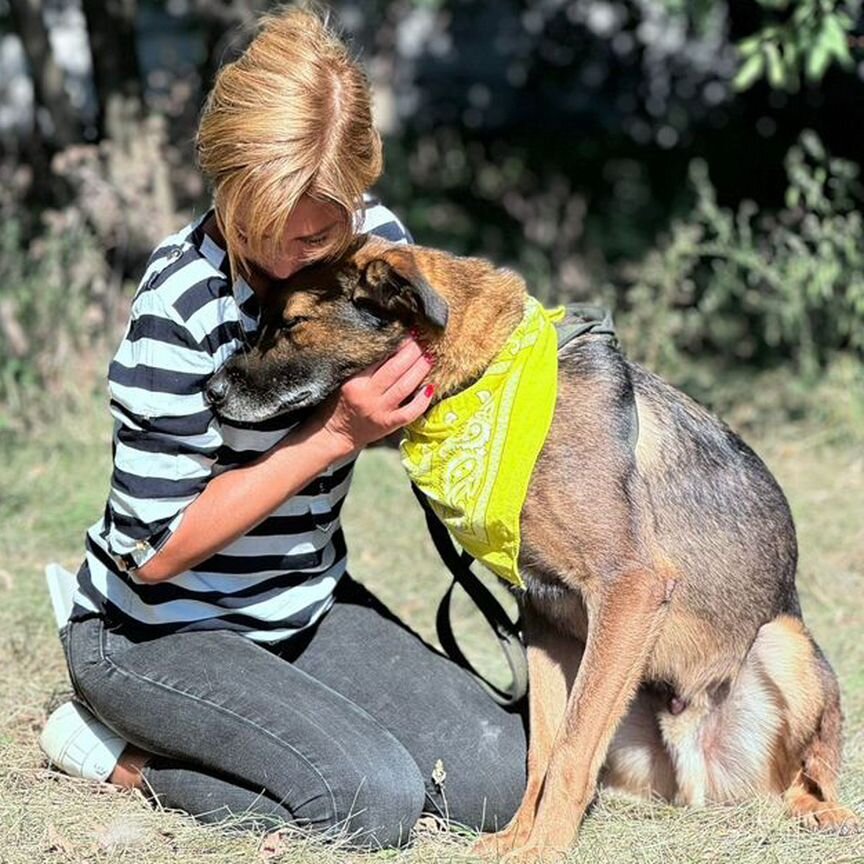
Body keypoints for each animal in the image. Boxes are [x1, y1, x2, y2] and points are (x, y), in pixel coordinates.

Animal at [208, 235, 856, 856]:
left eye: (291, 324)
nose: (209, 391)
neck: (487, 381)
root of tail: (695, 774)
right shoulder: (544, 618)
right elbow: (542, 749)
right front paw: (518, 839)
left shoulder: (630, 589)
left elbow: (569, 748)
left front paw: (543, 848)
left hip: (784, 642)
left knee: (808, 772)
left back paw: (824, 811)